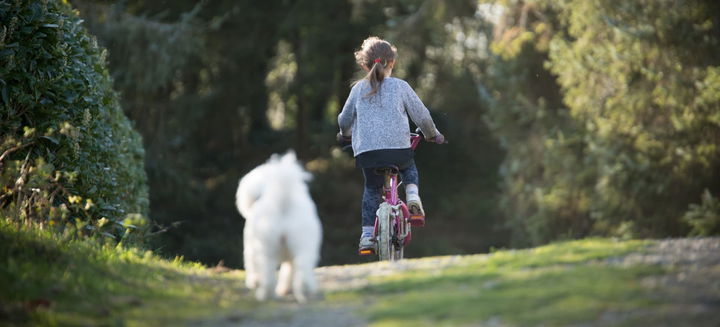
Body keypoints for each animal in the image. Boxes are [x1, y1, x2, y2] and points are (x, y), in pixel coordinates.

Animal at [235, 151, 322, 302]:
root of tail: (283, 202)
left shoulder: (250, 248)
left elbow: (251, 265)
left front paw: (253, 282)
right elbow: (288, 272)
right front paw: (285, 289)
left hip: (265, 249)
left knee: (268, 276)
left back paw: (263, 294)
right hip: (303, 246)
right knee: (302, 271)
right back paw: (304, 293)